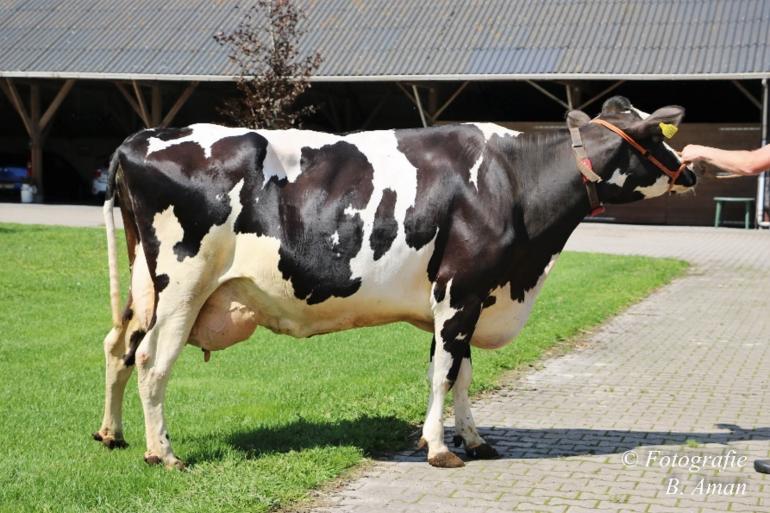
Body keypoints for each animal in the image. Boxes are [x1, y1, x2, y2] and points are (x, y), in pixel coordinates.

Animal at [94, 96, 696, 468]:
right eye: (659, 139)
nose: (691, 170)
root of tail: (142, 137)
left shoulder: (468, 296)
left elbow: (462, 373)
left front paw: (474, 439)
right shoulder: (459, 289)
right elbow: (443, 375)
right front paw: (438, 448)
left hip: (146, 283)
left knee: (119, 345)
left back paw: (112, 434)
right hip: (184, 282)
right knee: (151, 359)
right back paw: (163, 453)